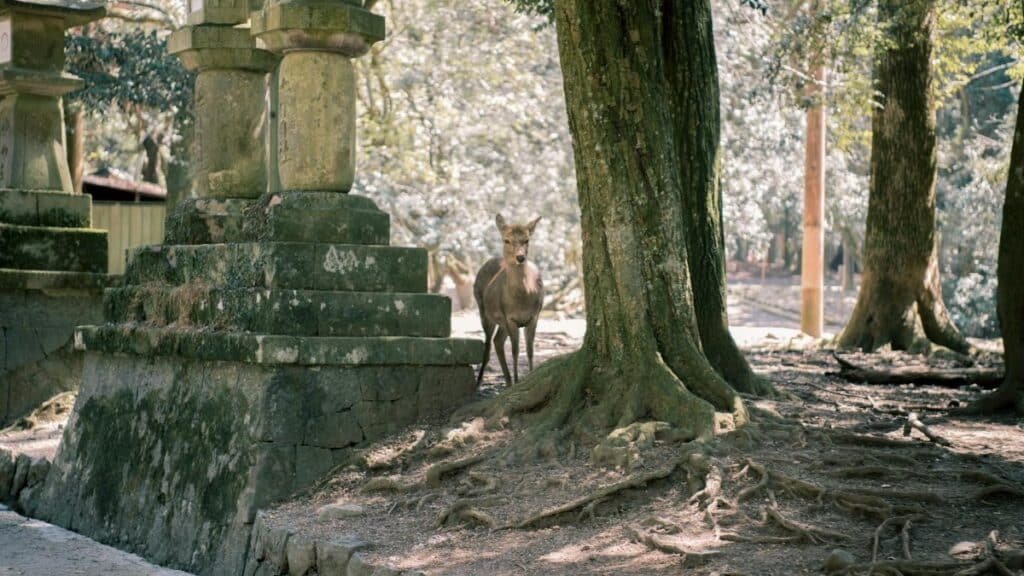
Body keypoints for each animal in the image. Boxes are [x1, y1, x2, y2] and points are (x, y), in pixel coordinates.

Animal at [474, 214, 544, 386]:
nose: (520, 257)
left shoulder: (534, 316)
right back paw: (479, 383)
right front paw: (519, 380)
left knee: (497, 341)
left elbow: (530, 350)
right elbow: (515, 351)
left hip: (502, 323)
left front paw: (528, 376)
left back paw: (508, 382)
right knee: (488, 345)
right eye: (506, 240)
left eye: (526, 240)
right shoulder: (510, 317)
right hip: (484, 311)